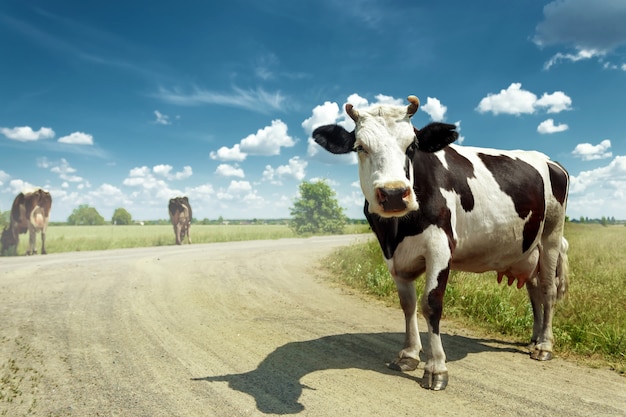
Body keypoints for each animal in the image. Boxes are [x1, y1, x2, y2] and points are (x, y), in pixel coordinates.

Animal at [310, 96, 568, 388]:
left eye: (411, 146)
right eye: (360, 147)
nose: (394, 194)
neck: (398, 230)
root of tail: (548, 160)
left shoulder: (440, 247)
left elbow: (430, 304)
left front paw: (435, 368)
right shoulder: (392, 255)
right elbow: (408, 304)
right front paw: (409, 354)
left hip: (552, 236)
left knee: (547, 289)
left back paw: (544, 345)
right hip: (529, 249)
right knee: (534, 290)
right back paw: (535, 338)